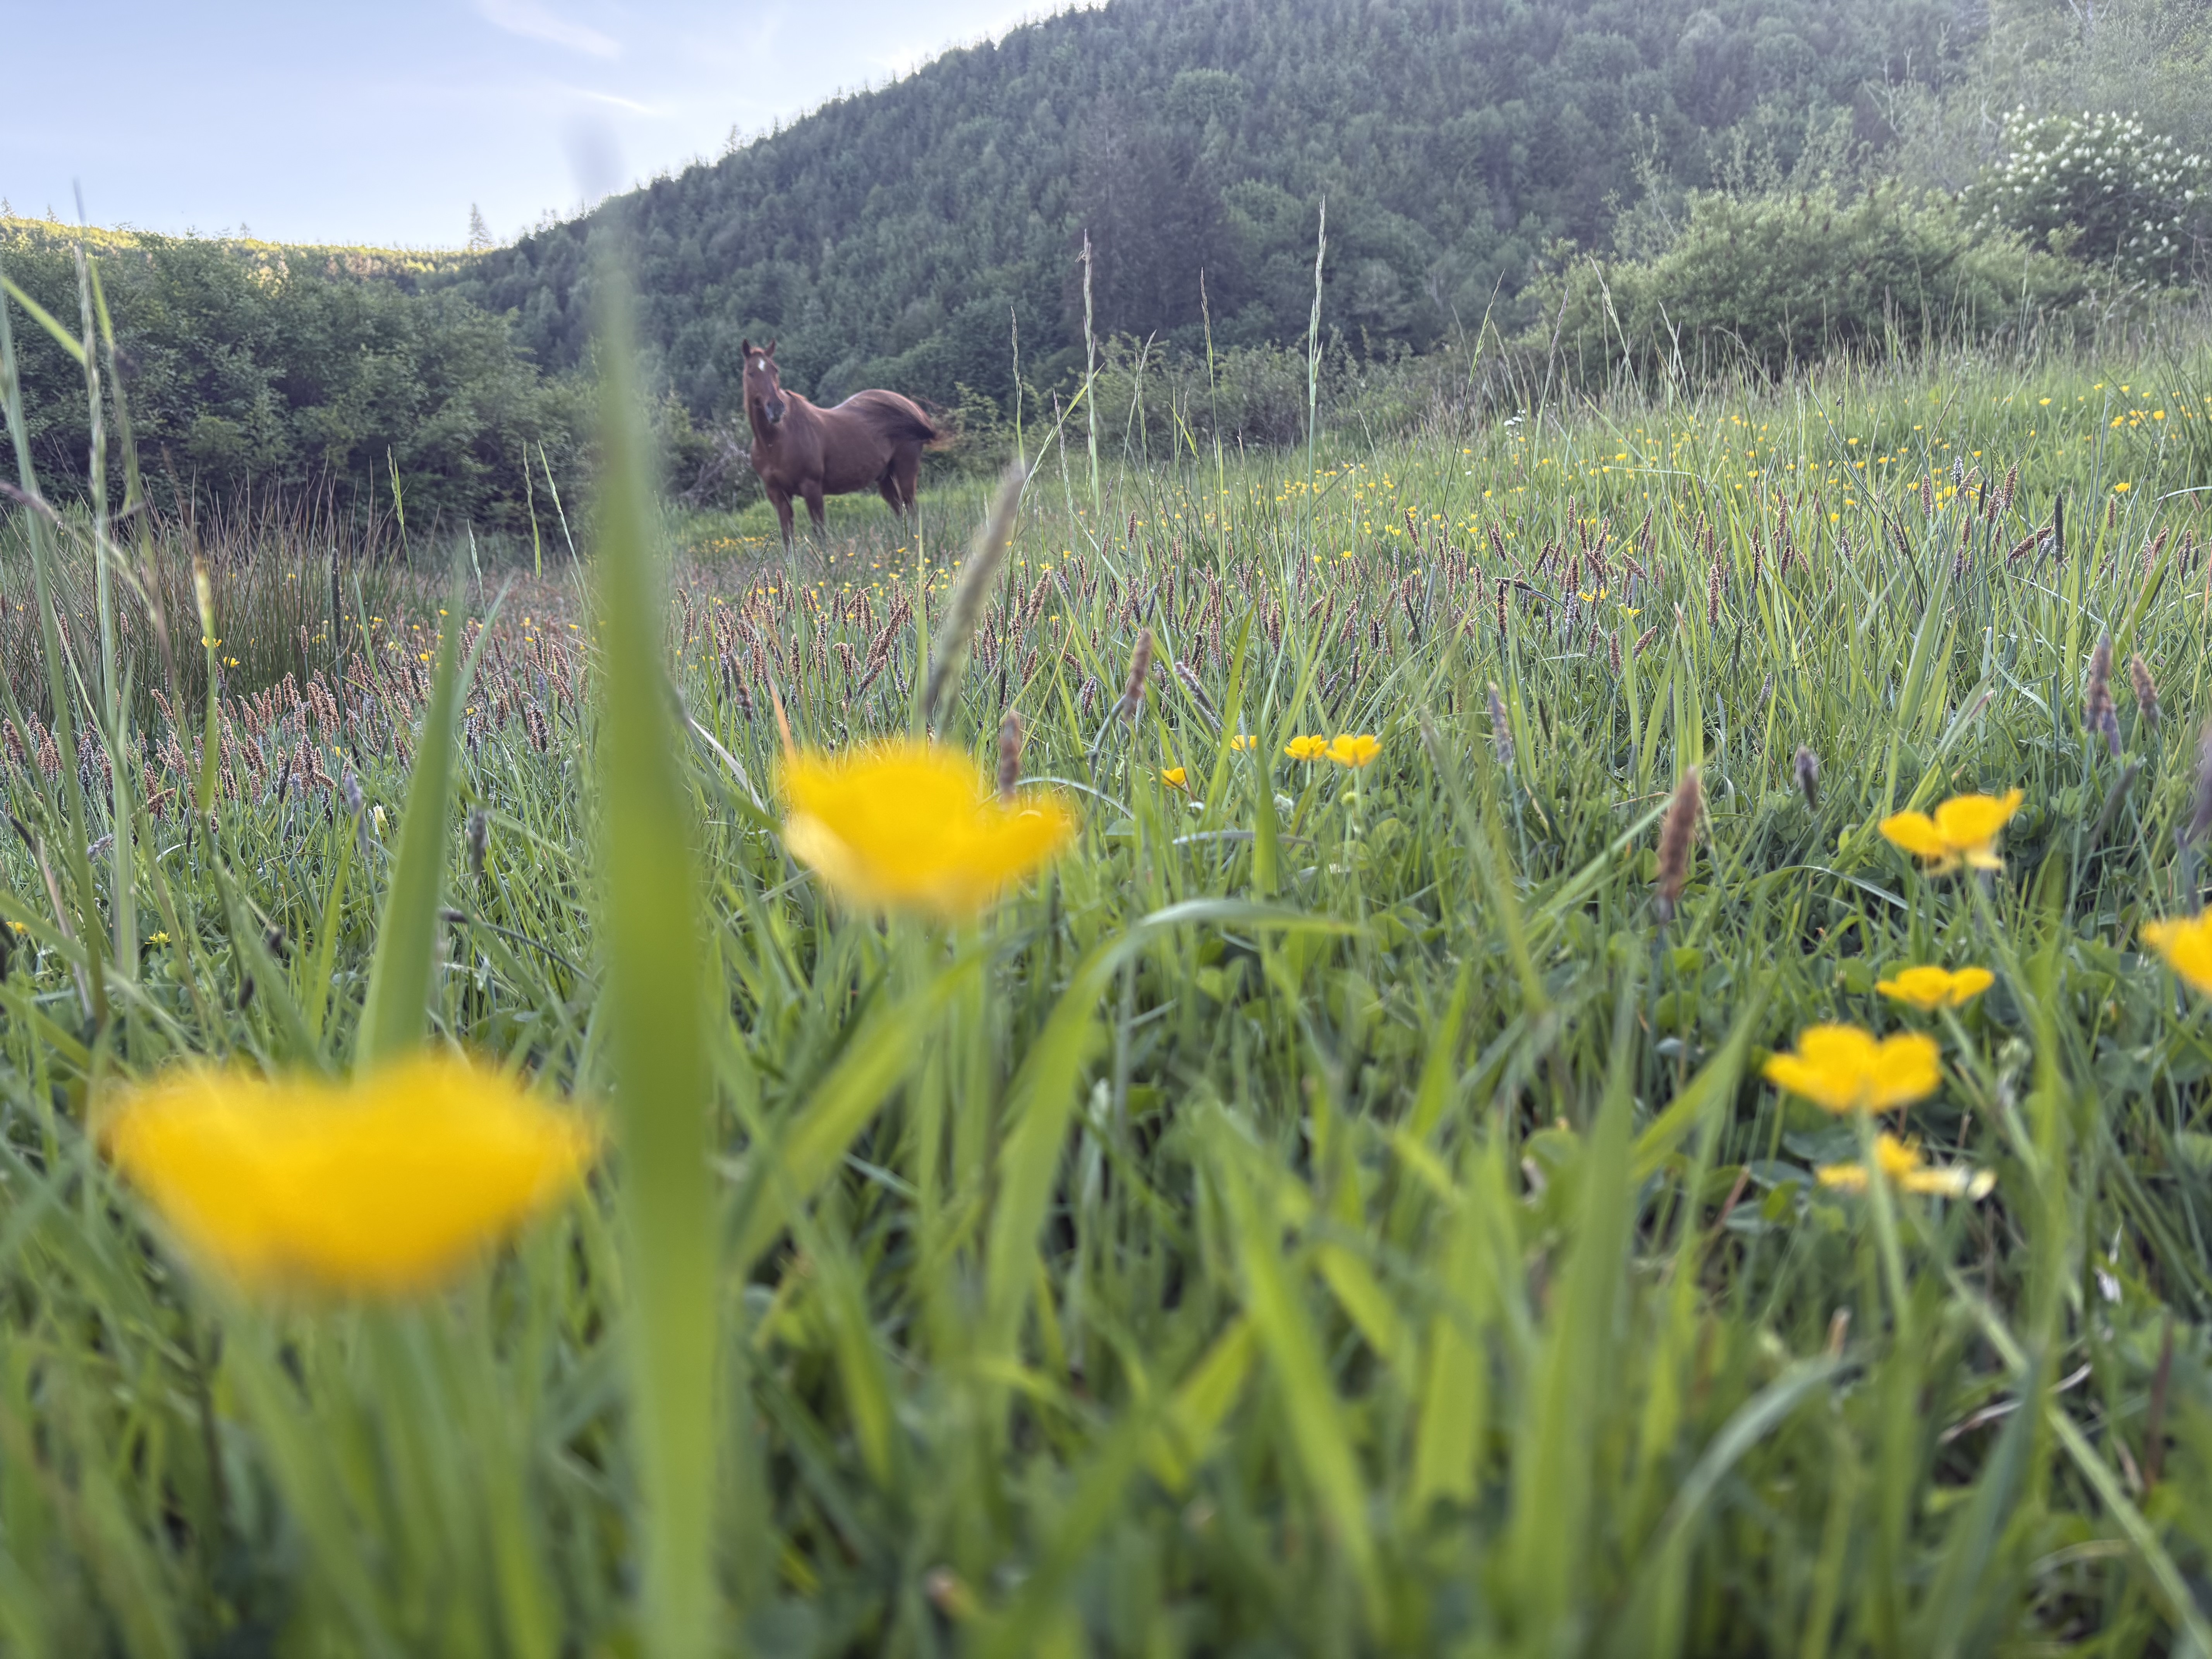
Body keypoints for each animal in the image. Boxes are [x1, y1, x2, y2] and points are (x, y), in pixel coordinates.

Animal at [740, 338, 938, 545]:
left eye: (775, 370)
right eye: (751, 373)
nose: (777, 409)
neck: (776, 442)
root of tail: (912, 408)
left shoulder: (812, 489)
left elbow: (821, 536)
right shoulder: (779, 496)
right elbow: (788, 541)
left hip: (905, 471)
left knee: (912, 510)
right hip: (886, 478)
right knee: (901, 512)